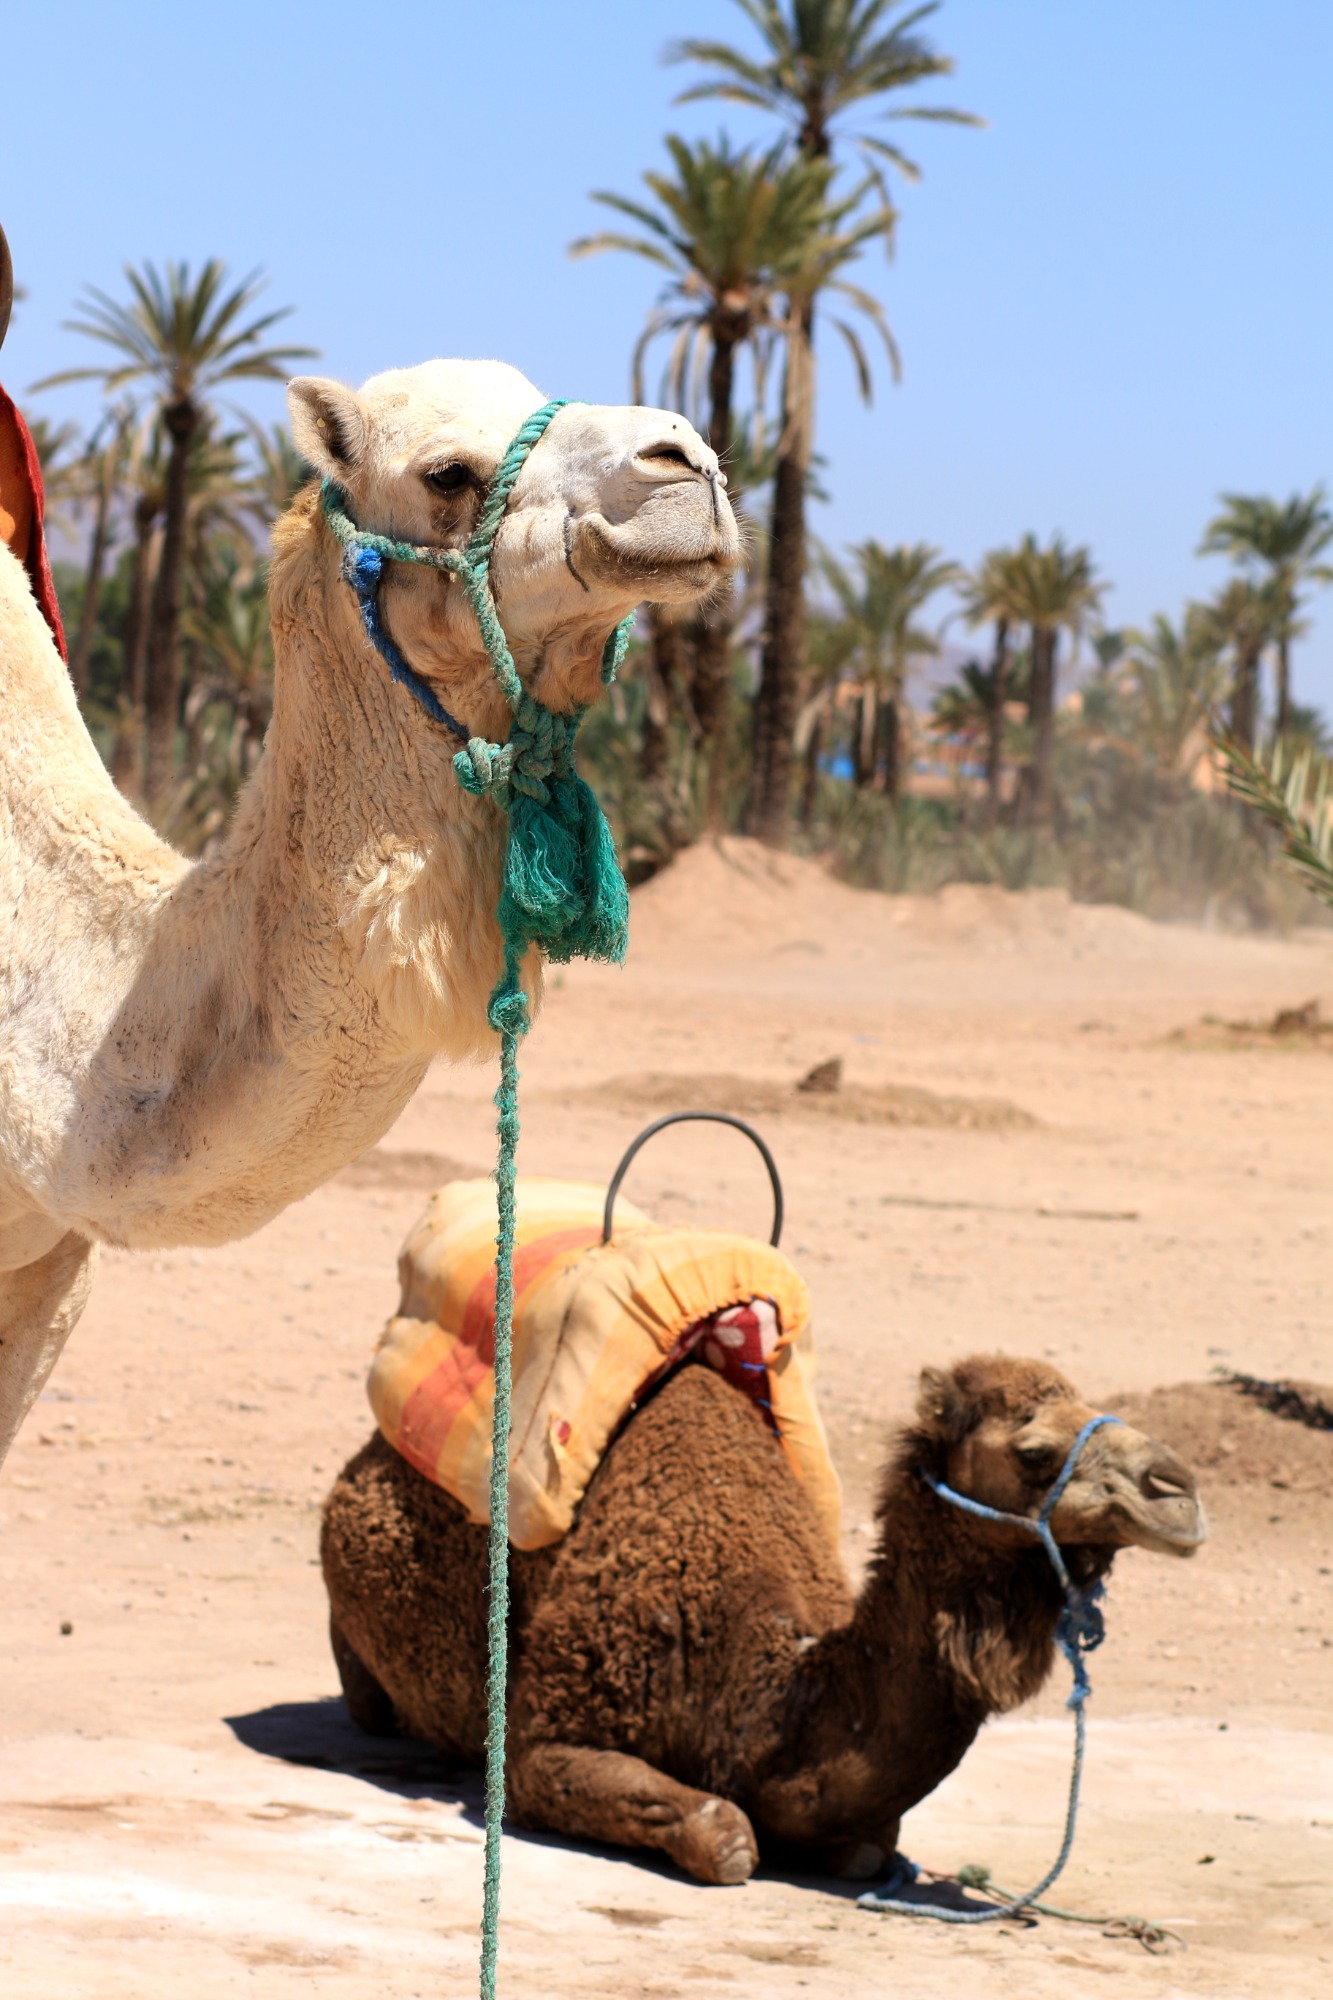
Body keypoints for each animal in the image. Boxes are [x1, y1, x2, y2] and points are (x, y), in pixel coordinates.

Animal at [321, 1351, 1205, 1885]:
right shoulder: (546, 1734)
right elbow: (726, 1837)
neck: (762, 1688)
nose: (1181, 1492)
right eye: (1034, 1454)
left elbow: (863, 1850)